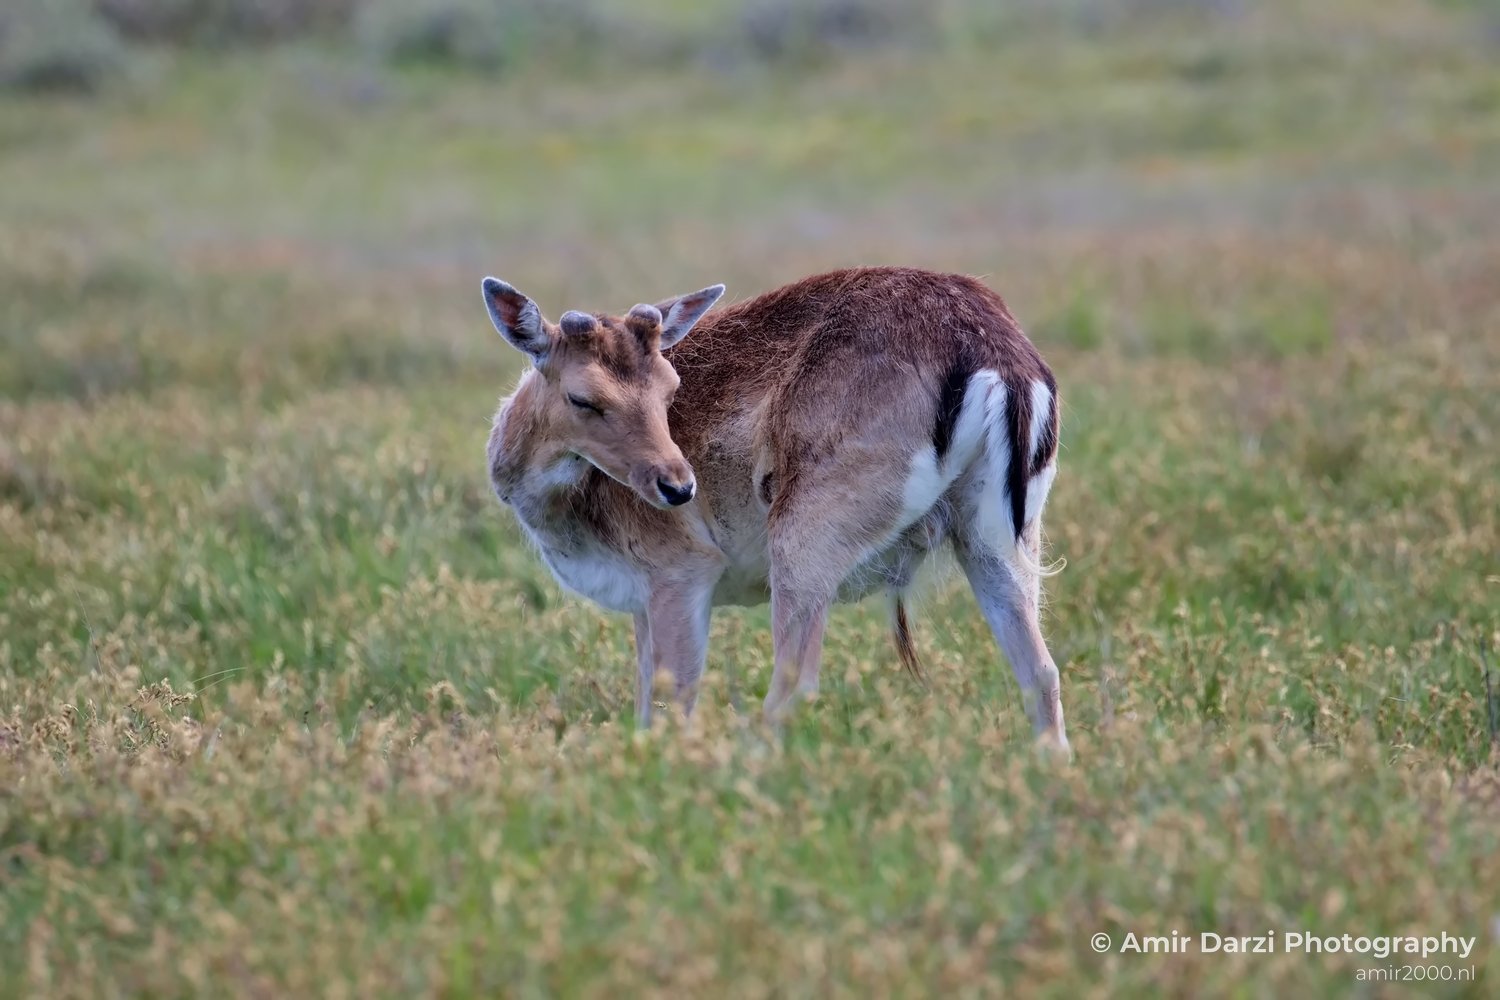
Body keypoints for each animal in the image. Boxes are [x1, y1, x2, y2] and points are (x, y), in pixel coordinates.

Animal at [483, 266, 1068, 752]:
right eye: (582, 398)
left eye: (670, 388)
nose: (678, 487)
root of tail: (999, 360)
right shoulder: (642, 599)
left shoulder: (680, 570)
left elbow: (673, 702)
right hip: (998, 537)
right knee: (1040, 670)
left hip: (804, 536)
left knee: (795, 682)